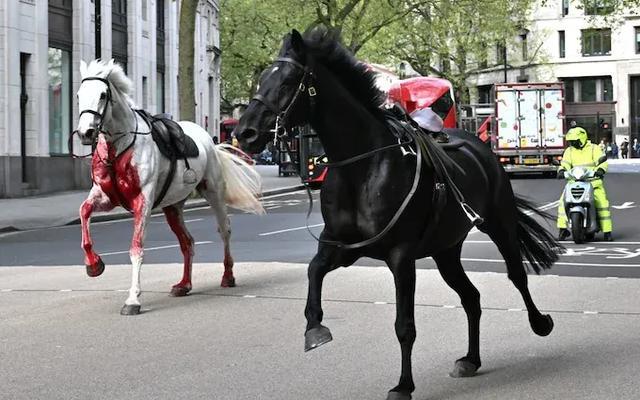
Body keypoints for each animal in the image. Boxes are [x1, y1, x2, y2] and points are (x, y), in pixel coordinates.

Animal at [75, 60, 264, 316]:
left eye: (103, 94)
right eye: (78, 95)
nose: (85, 133)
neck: (120, 147)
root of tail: (209, 140)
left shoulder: (142, 201)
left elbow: (136, 249)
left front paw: (133, 300)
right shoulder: (105, 197)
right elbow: (84, 212)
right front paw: (94, 265)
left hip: (213, 192)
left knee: (224, 230)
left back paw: (228, 276)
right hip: (173, 206)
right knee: (187, 242)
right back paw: (184, 285)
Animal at [235, 28, 560, 400]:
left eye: (288, 80)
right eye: (262, 78)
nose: (244, 132)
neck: (362, 167)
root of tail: (479, 145)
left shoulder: (400, 256)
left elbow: (405, 325)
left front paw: (403, 385)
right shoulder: (342, 247)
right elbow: (314, 271)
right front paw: (314, 328)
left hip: (499, 223)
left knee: (516, 275)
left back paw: (540, 323)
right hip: (446, 250)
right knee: (471, 297)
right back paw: (471, 359)